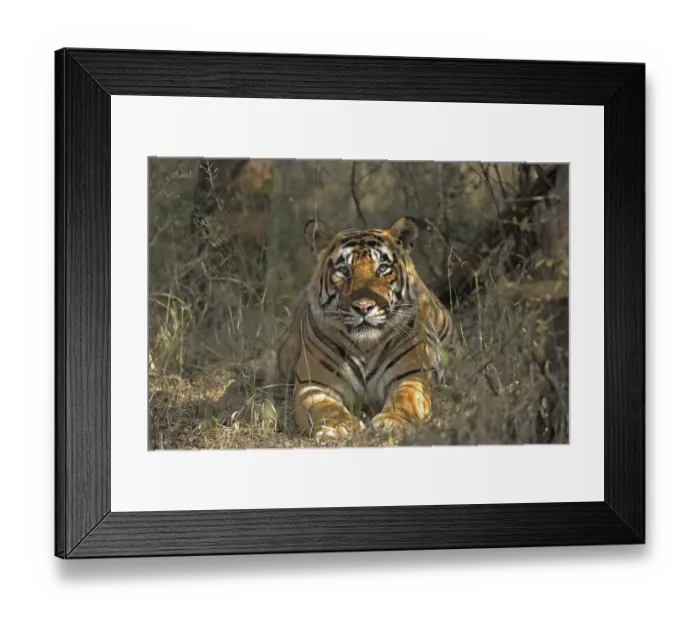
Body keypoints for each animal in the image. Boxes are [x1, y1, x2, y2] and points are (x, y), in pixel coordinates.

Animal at [276, 216, 454, 441]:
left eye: (382, 269)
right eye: (344, 271)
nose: (363, 307)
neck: (365, 346)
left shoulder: (411, 375)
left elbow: (406, 399)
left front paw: (393, 422)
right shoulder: (315, 384)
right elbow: (324, 408)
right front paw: (338, 426)